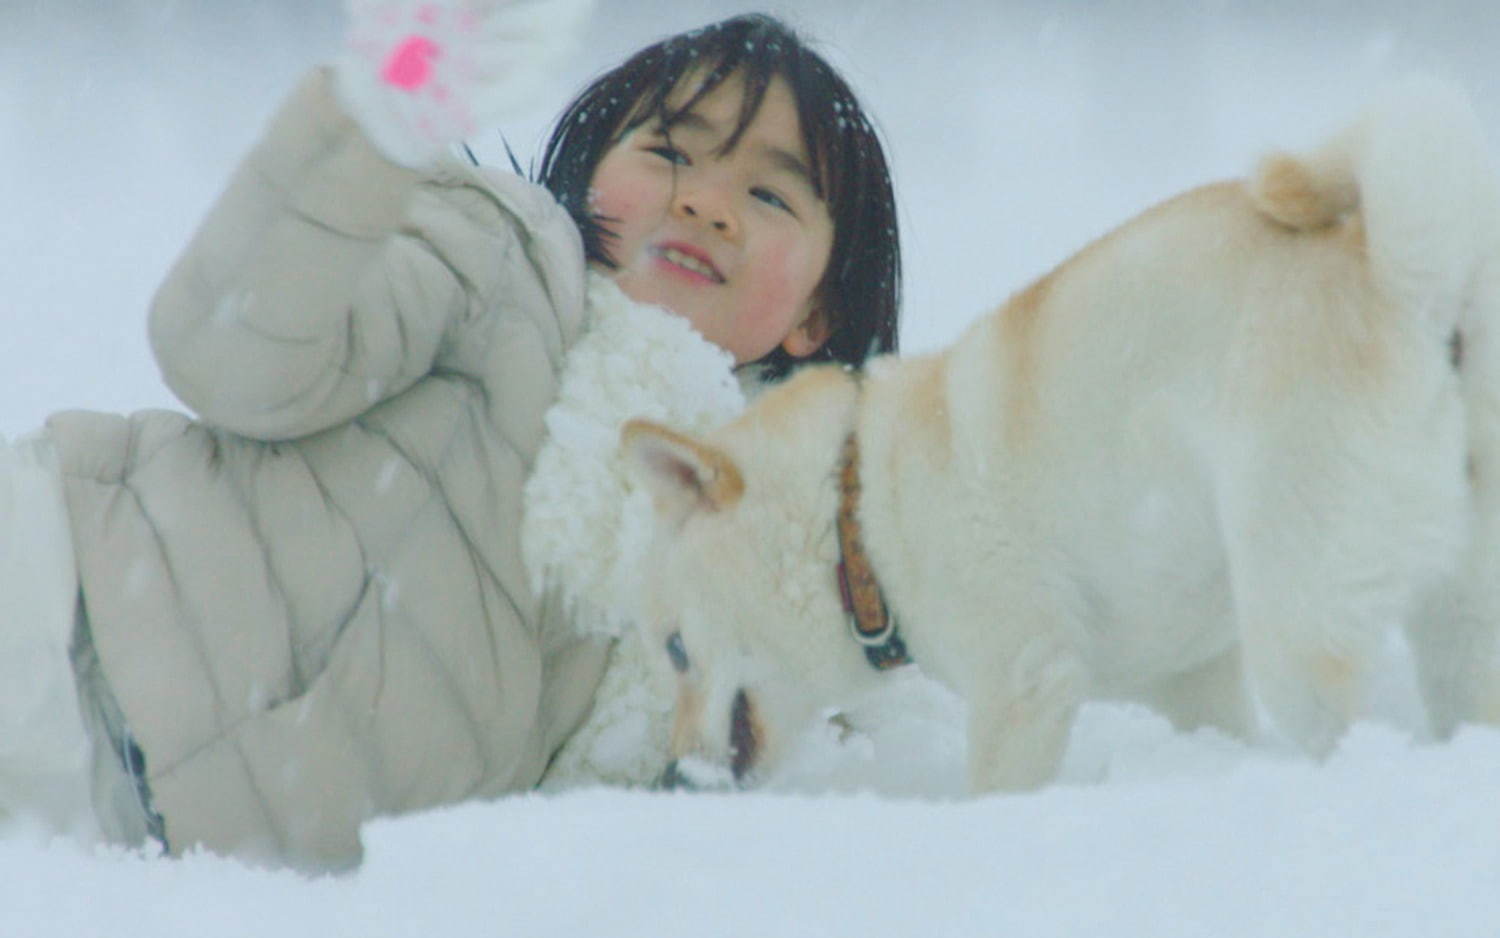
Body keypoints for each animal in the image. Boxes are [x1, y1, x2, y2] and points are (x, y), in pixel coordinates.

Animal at [618, 80, 1500, 792]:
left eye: (675, 650)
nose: (670, 780)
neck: (857, 512)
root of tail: (1411, 283)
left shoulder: (1024, 676)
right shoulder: (1193, 678)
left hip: (1298, 624)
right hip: (1455, 626)